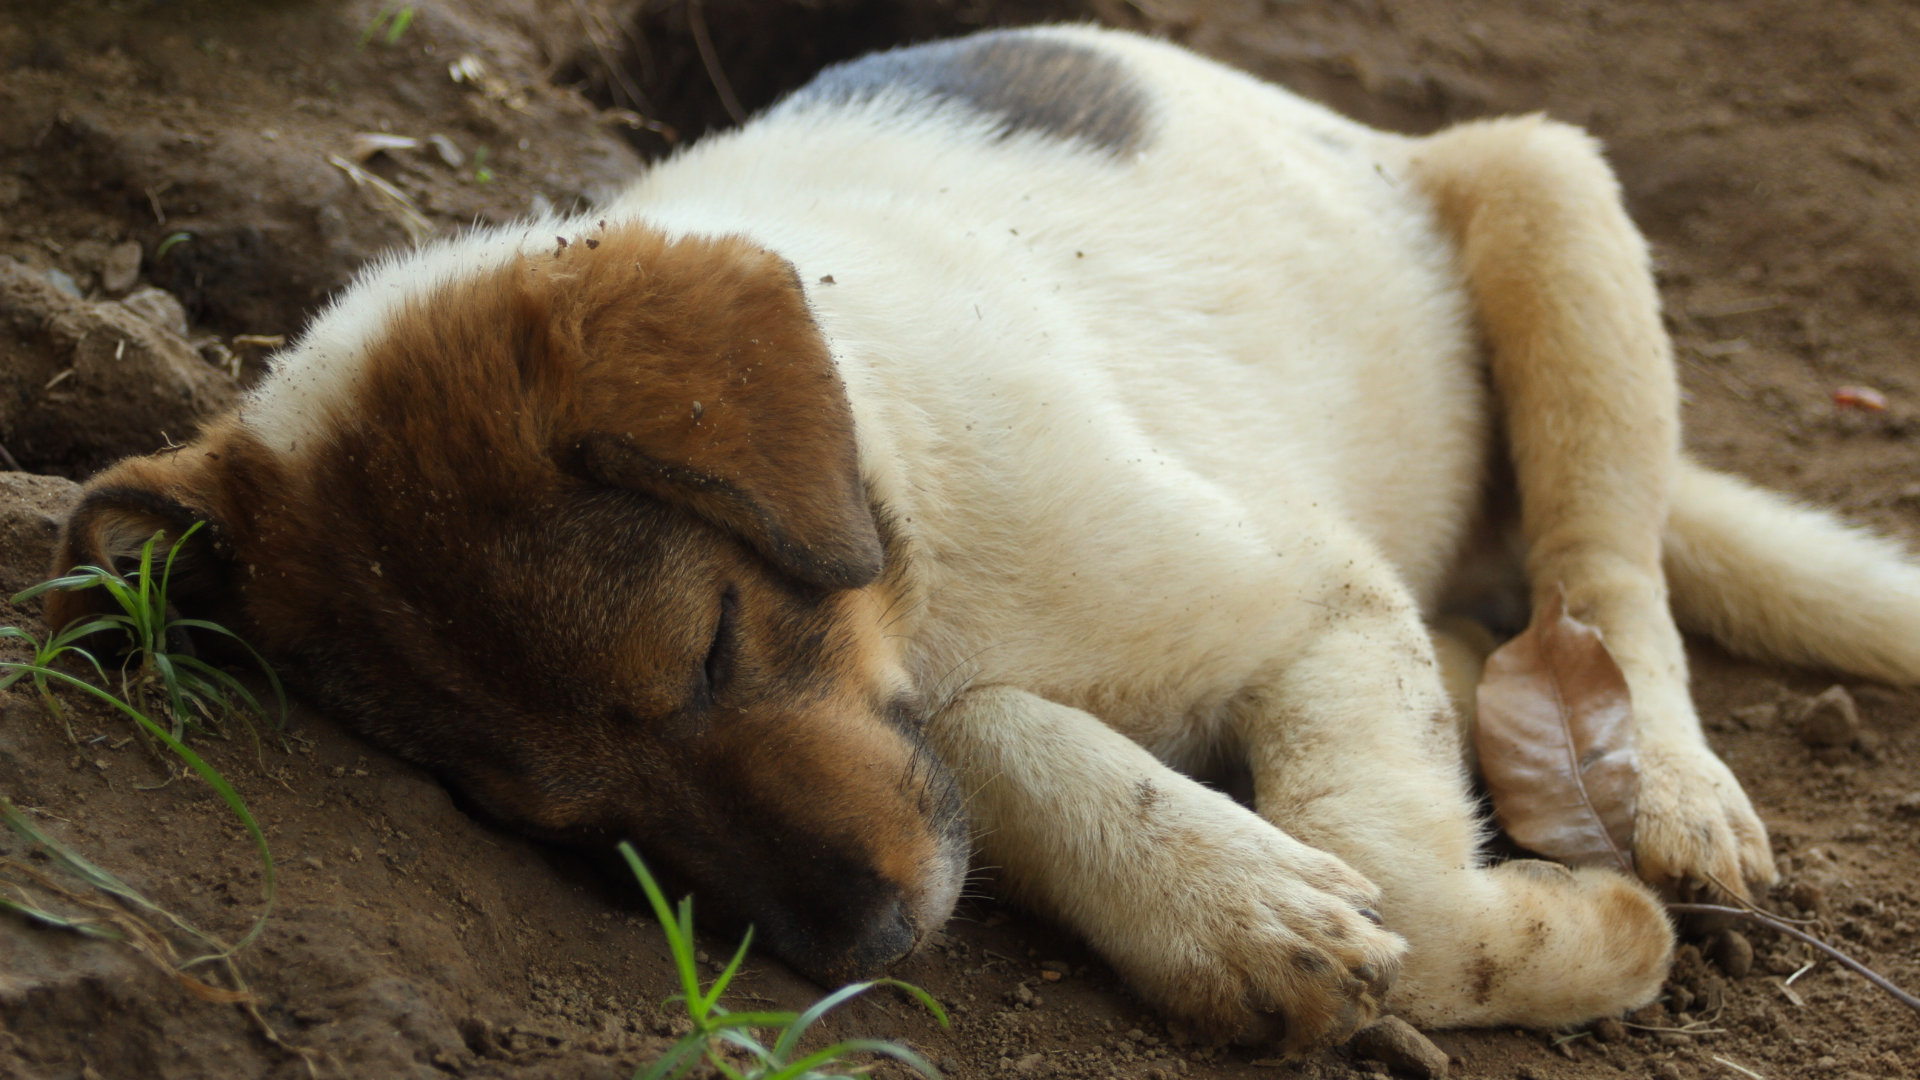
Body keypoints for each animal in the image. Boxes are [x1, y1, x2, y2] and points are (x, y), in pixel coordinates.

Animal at [41, 25, 1920, 1045]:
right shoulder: (969, 709)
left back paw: (1670, 792)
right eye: (547, 819)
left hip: (1549, 195)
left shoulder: (1314, 598)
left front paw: (1585, 939)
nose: (864, 951)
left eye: (712, 647)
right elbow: (997, 749)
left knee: (1610, 579)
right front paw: (1230, 909)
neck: (913, 529)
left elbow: (1393, 868)